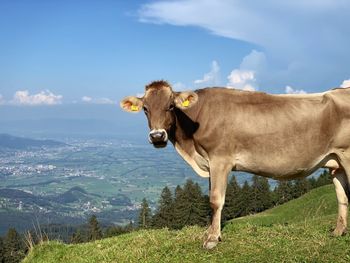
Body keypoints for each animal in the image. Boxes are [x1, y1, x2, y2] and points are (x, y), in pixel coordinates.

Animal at [119, 81, 350, 251]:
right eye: (146, 109)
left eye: (170, 106)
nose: (157, 136)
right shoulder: (211, 162)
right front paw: (210, 232)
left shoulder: (220, 159)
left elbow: (215, 200)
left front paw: (212, 239)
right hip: (336, 161)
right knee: (342, 195)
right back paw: (338, 232)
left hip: (347, 155)